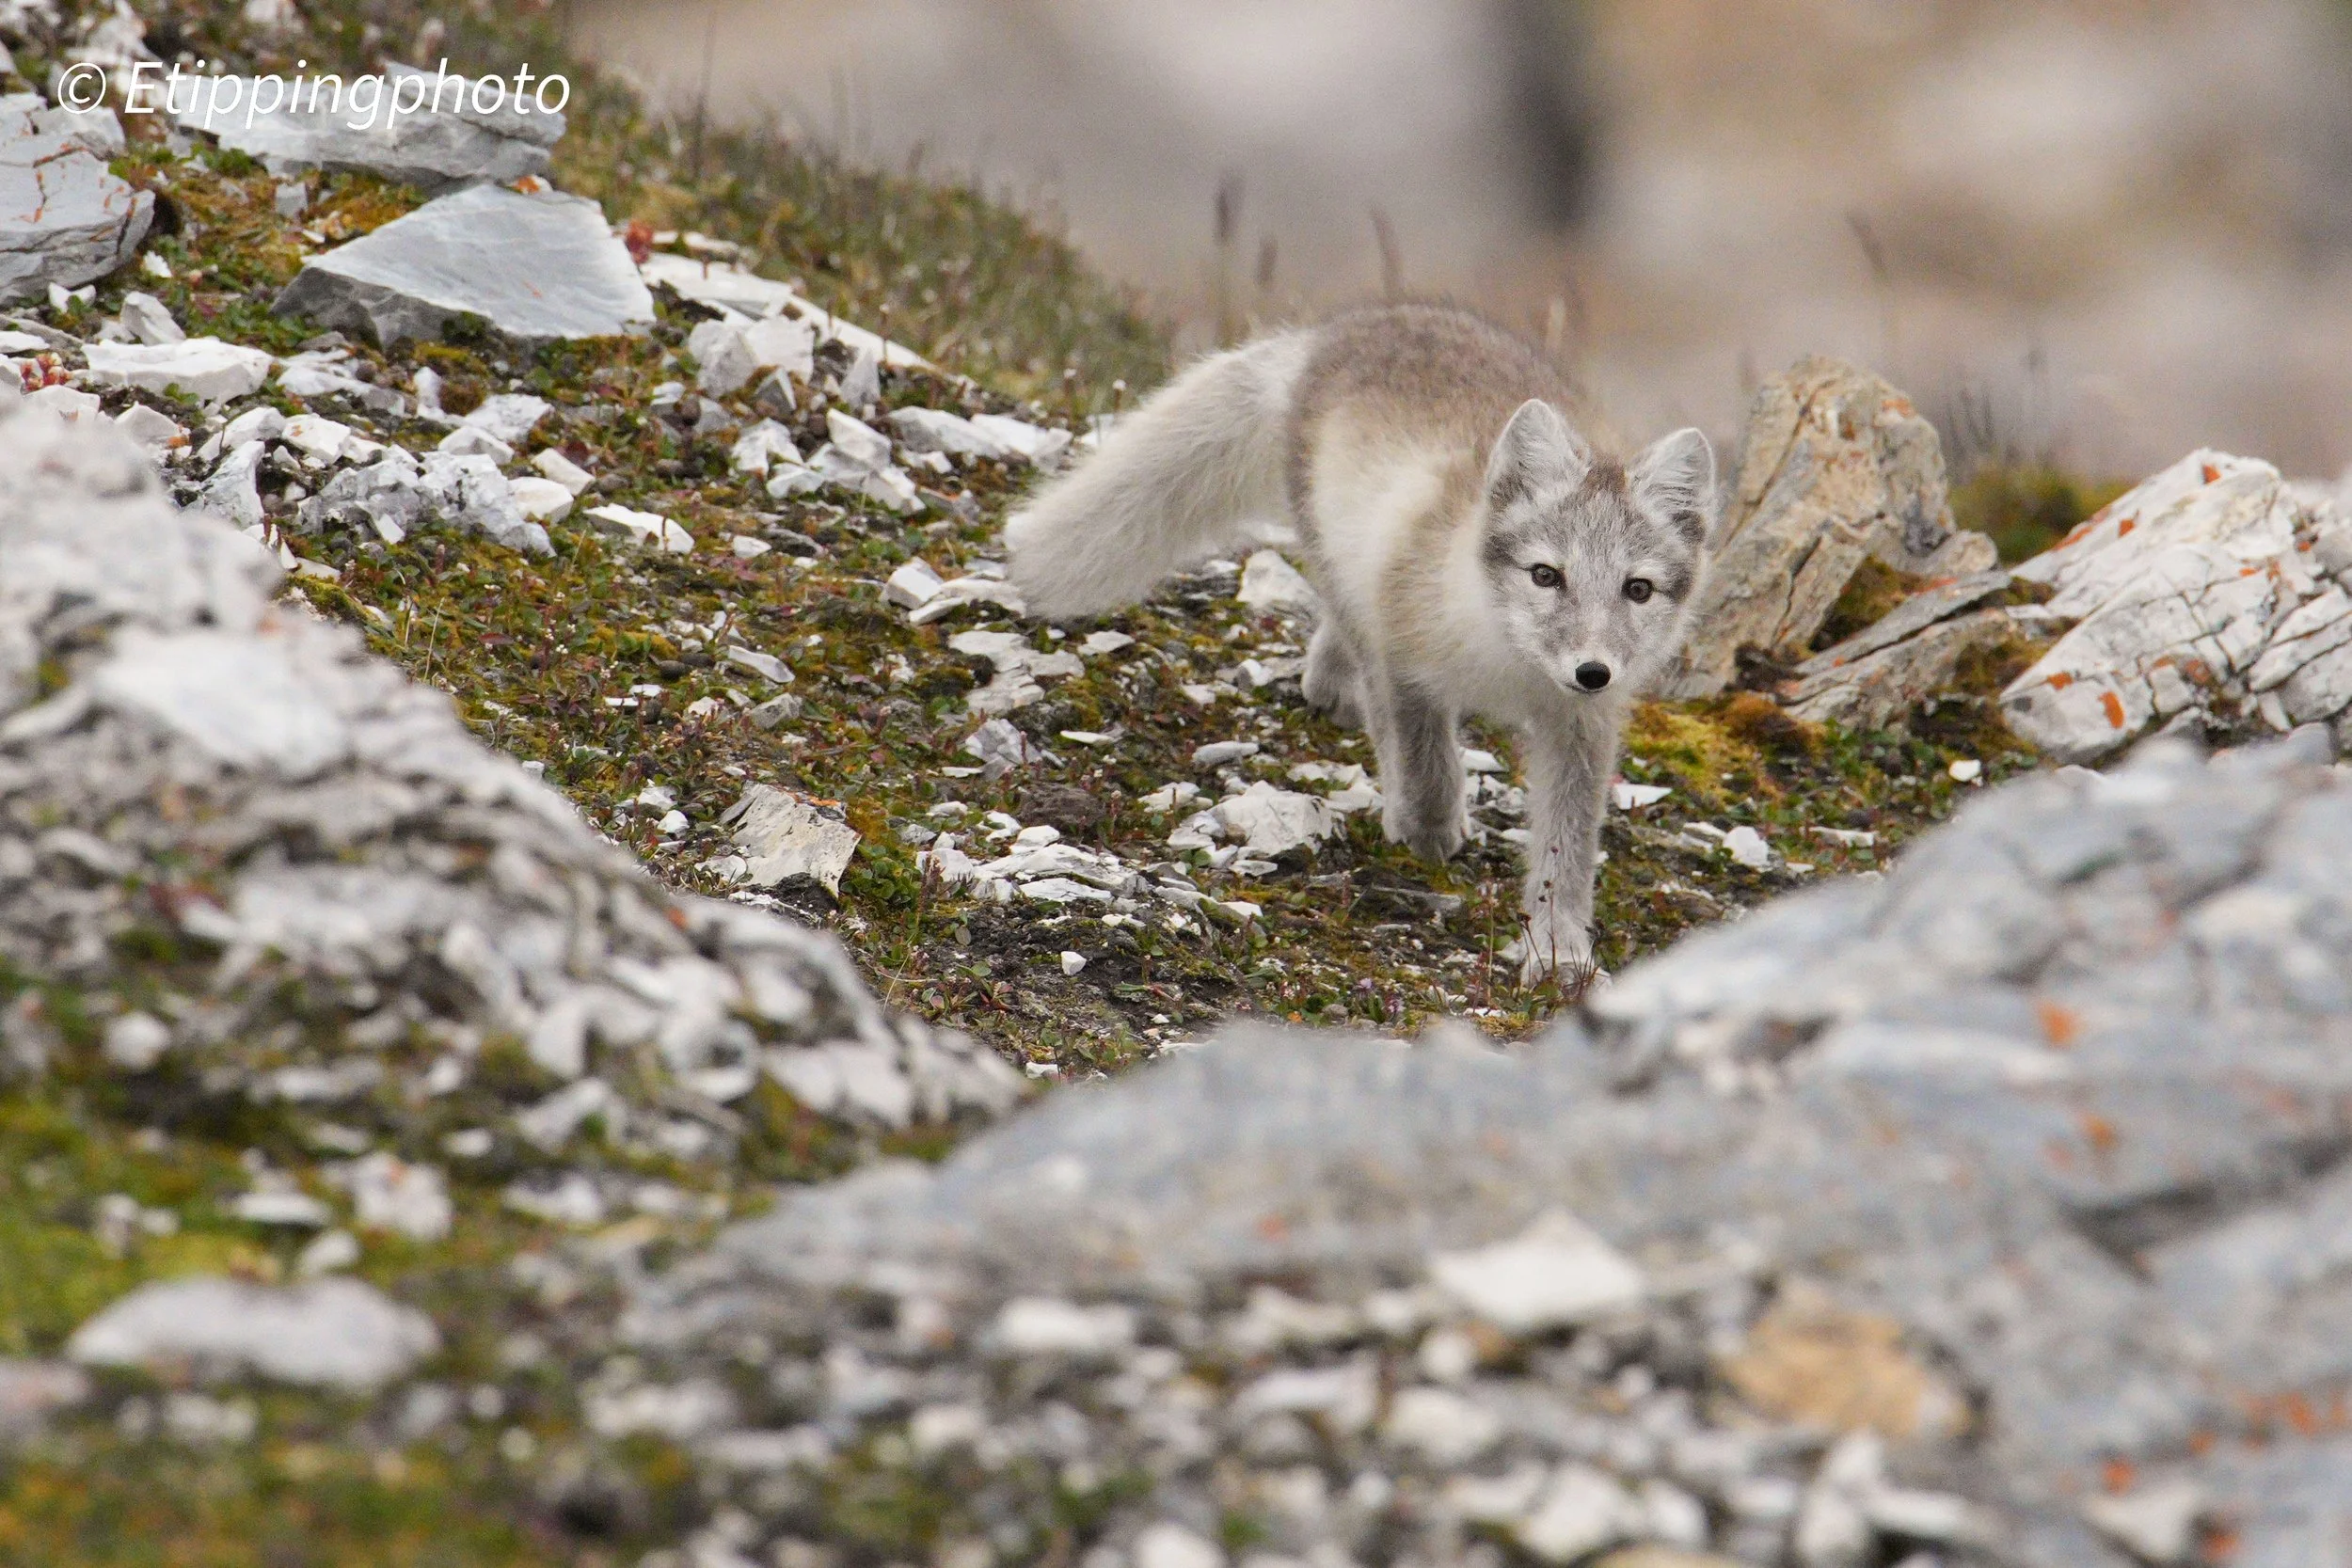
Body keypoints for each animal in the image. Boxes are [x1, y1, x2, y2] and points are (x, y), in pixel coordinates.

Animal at [1003, 303, 1717, 984]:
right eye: (1546, 574)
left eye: (1638, 589)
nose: (1592, 671)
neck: (1510, 665)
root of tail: (1332, 334)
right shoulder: (1403, 659)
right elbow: (1424, 761)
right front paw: (1426, 829)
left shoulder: (1579, 727)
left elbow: (1567, 847)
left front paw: (1559, 947)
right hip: (1334, 548)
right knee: (1353, 643)